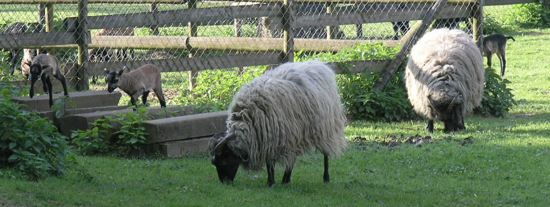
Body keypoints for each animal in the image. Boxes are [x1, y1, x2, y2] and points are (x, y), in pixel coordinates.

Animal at [209, 60, 348, 188]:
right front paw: (272, 181)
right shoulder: (269, 138)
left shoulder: (272, 137)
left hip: (325, 128)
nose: (225, 183)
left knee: (325, 154)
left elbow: (270, 162)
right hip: (296, 133)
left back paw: (326, 177)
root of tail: (320, 64)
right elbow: (271, 162)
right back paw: (286, 179)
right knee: (293, 157)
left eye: (223, 161)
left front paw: (271, 183)